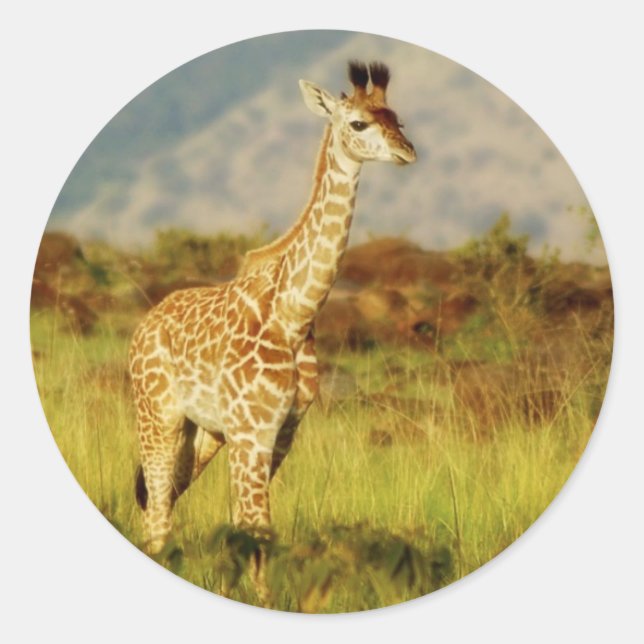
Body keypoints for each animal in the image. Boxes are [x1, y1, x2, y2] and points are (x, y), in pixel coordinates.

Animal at [128, 60, 416, 602]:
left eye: (398, 119)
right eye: (358, 123)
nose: (408, 151)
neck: (294, 312)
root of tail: (144, 324)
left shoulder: (280, 433)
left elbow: (250, 527)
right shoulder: (251, 431)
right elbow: (255, 526)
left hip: (203, 433)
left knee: (165, 501)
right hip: (158, 416)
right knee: (156, 510)